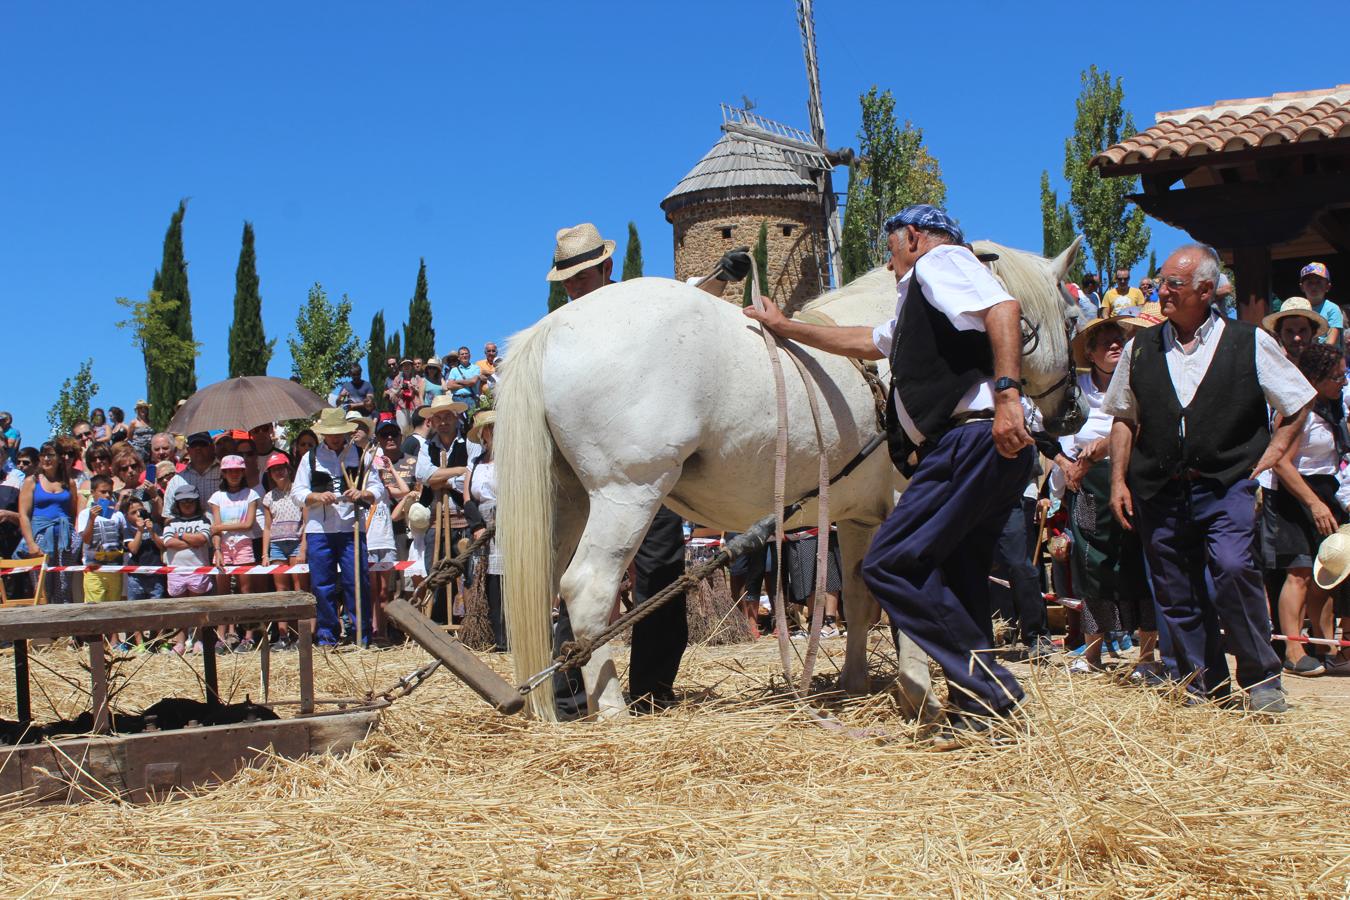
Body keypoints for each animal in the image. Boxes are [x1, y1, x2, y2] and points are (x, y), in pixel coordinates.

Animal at [502, 237, 1080, 717]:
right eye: (1074, 317)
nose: (1070, 414)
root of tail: (551, 327)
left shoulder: (859, 518)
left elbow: (861, 596)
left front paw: (855, 682)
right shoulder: (907, 501)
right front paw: (919, 690)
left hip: (567, 501)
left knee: (548, 590)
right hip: (627, 494)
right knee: (587, 588)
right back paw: (613, 709)